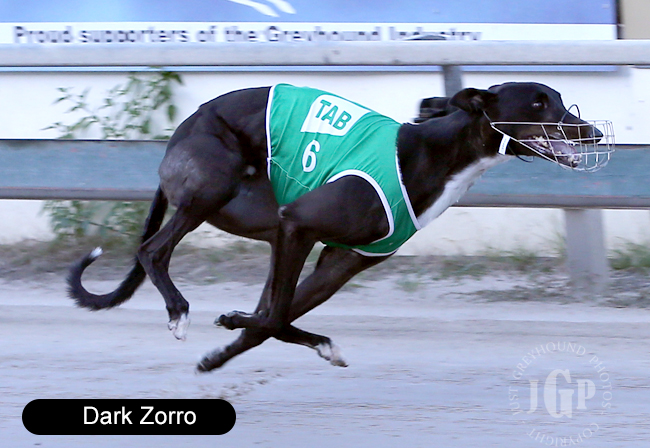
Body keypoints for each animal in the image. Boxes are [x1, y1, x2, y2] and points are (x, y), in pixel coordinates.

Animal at [68, 82, 607, 372]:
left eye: (558, 98)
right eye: (537, 103)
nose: (594, 132)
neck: (433, 152)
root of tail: (181, 130)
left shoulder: (336, 260)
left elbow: (273, 316)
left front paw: (223, 350)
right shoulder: (300, 223)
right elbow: (269, 317)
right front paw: (228, 332)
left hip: (266, 221)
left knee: (267, 300)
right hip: (213, 187)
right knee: (152, 250)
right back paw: (179, 310)